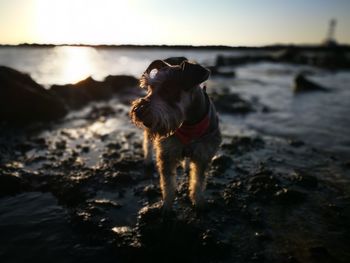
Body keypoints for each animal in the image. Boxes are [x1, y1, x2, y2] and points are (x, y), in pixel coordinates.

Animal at [130, 57, 220, 212]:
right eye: (149, 88)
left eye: (168, 88)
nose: (138, 111)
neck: (189, 124)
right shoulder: (167, 154)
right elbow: (168, 185)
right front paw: (166, 206)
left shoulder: (203, 155)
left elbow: (198, 181)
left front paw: (199, 202)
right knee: (147, 143)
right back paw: (147, 160)